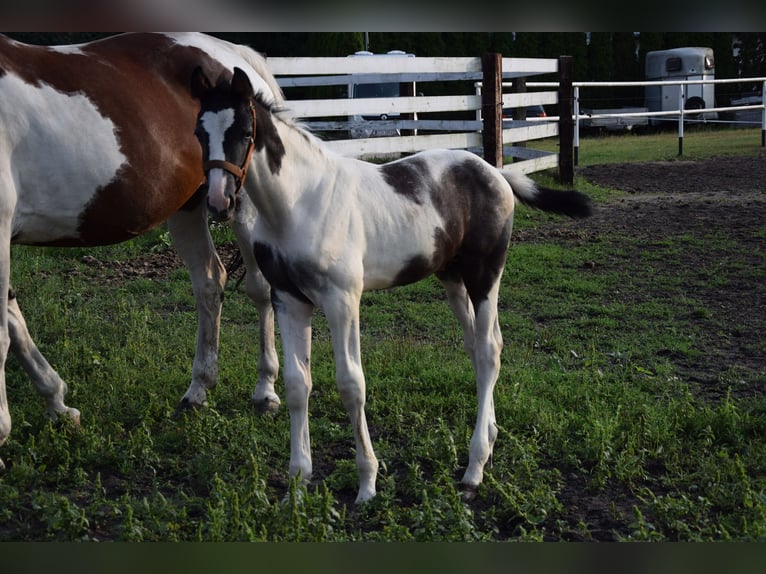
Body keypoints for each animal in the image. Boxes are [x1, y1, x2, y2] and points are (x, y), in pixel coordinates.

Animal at [0, 32, 282, 472]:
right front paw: (59, 405)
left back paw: (265, 391)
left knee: (259, 288)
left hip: (242, 205)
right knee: (209, 282)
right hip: (190, 205)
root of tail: (234, 55)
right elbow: (14, 321)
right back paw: (198, 391)